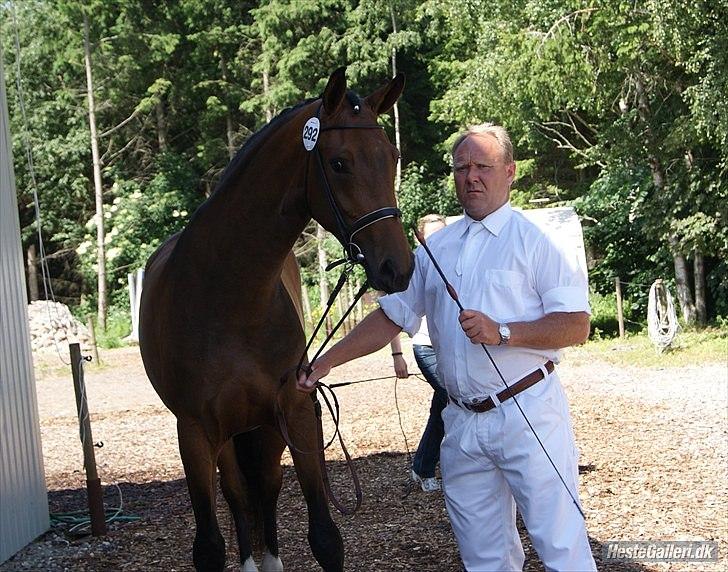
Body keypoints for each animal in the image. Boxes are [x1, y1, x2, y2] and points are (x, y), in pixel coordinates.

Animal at [139, 68, 412, 572]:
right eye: (339, 163)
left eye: (392, 156)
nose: (397, 268)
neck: (228, 299)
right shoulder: (195, 433)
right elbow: (211, 545)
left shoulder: (297, 412)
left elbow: (325, 536)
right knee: (238, 495)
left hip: (265, 431)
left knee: (264, 489)